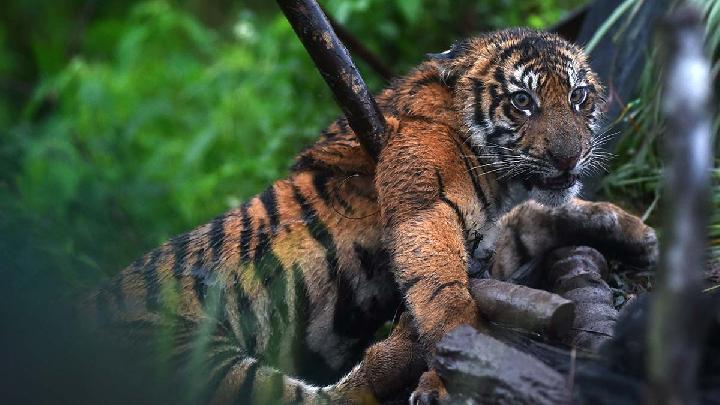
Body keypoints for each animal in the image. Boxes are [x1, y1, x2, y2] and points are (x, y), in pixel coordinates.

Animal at [89, 28, 658, 404]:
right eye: (522, 102)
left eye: (579, 97)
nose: (568, 157)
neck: (502, 183)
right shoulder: (424, 209)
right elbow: (443, 291)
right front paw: (460, 362)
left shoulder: (496, 232)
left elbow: (536, 218)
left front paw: (636, 233)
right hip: (188, 354)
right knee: (320, 398)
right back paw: (399, 349)